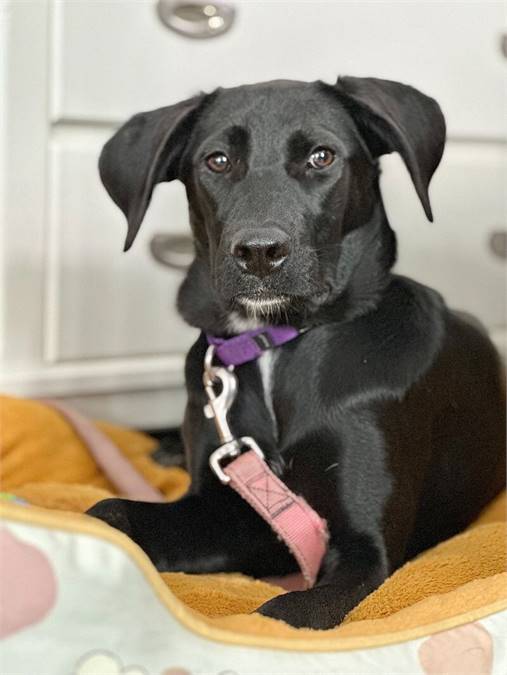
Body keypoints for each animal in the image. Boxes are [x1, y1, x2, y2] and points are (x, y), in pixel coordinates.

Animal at [89, 76, 506, 632]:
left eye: (321, 157)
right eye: (217, 161)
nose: (259, 253)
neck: (275, 343)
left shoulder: (366, 555)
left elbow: (282, 614)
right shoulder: (237, 512)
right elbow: (108, 512)